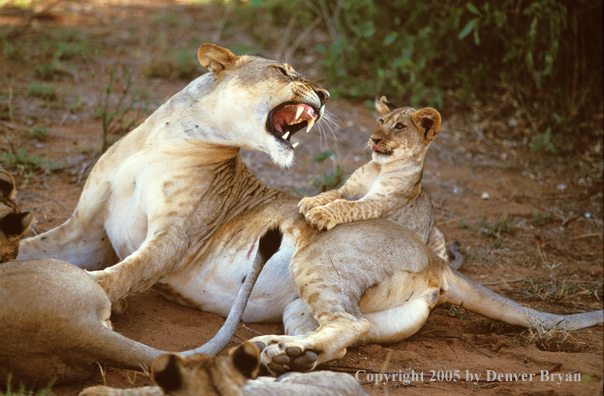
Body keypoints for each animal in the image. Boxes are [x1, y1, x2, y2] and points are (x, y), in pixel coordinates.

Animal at [11, 44, 600, 384]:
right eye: (282, 69)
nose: (323, 91)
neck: (168, 138)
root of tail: (437, 263)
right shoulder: (87, 230)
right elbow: (33, 247)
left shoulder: (174, 237)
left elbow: (122, 273)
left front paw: (76, 297)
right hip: (323, 307)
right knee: (346, 331)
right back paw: (279, 355)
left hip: (318, 258)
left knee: (347, 323)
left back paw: (277, 357)